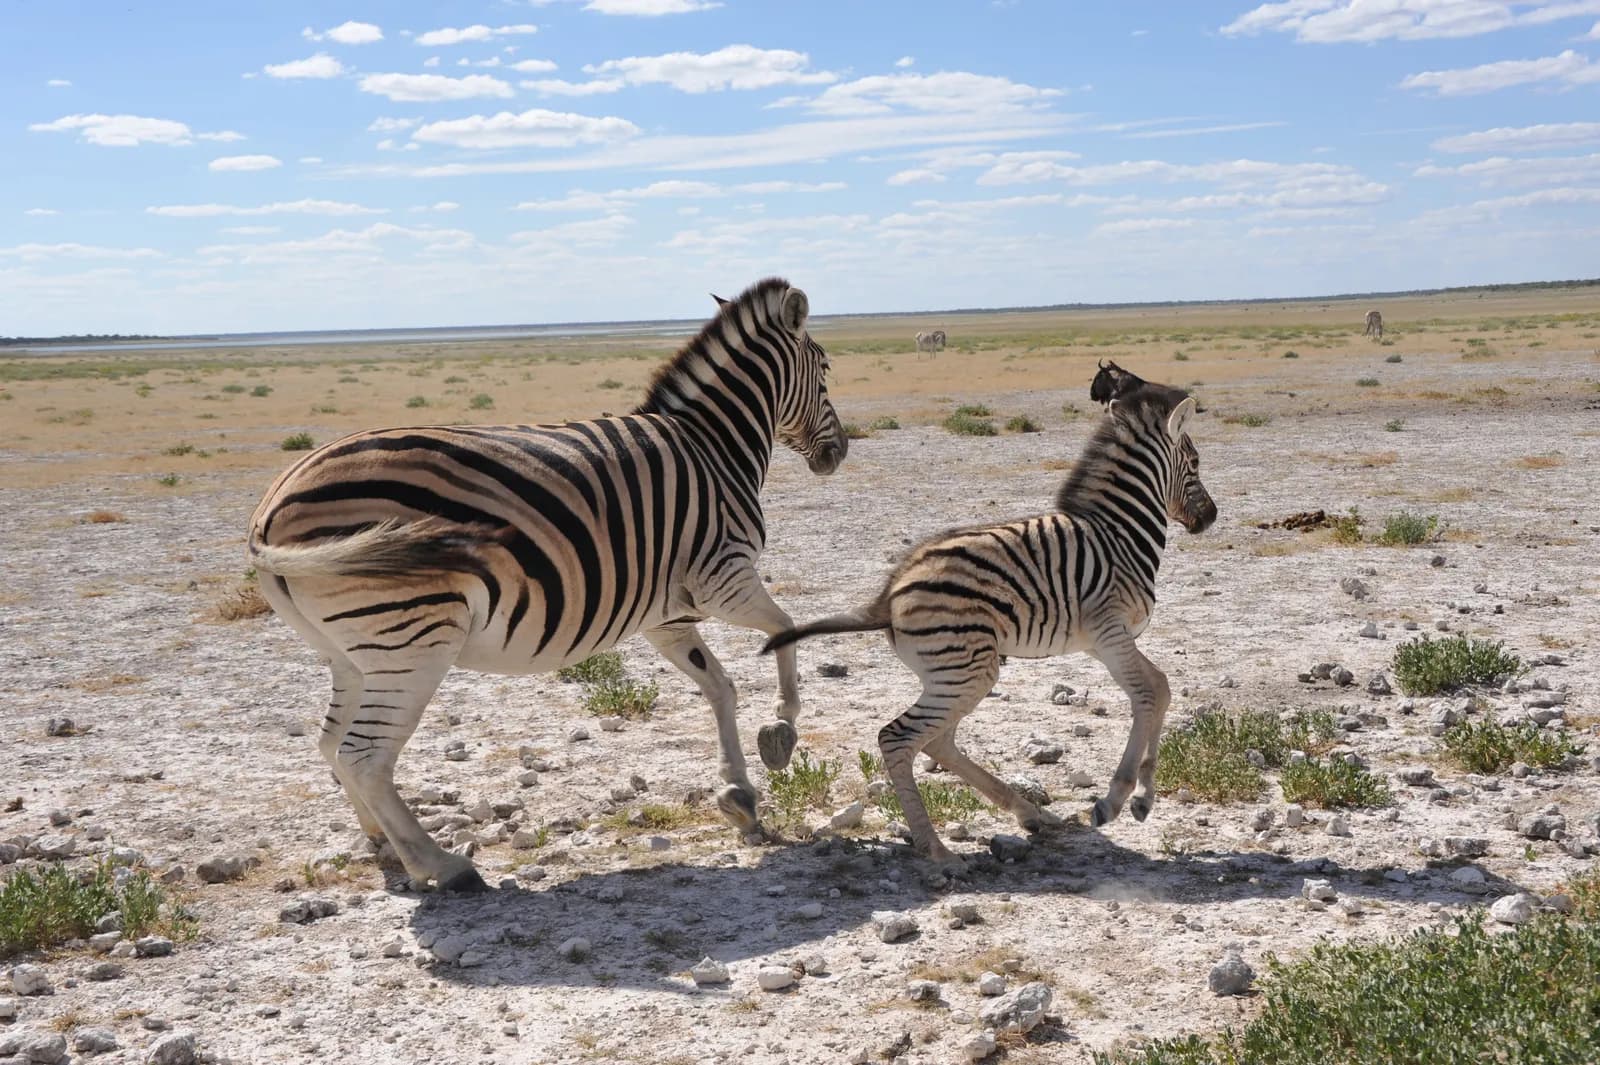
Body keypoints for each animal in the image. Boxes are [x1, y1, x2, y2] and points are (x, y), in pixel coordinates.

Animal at [247, 277, 848, 891]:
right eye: (825, 369)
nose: (838, 452)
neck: (713, 446)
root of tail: (270, 509)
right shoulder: (721, 575)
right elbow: (786, 628)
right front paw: (781, 729)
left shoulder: (668, 613)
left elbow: (720, 687)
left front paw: (739, 795)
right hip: (411, 638)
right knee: (364, 755)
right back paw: (442, 865)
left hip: (351, 652)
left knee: (332, 745)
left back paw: (384, 845)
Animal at [763, 362, 1215, 872]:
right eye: (1195, 463)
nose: (1211, 518)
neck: (1117, 533)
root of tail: (891, 589)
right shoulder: (1109, 629)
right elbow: (1152, 692)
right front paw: (1118, 800)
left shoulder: (1104, 641)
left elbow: (1158, 689)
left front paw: (1141, 798)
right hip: (966, 669)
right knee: (897, 737)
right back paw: (938, 851)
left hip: (957, 671)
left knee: (937, 742)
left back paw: (1030, 814)